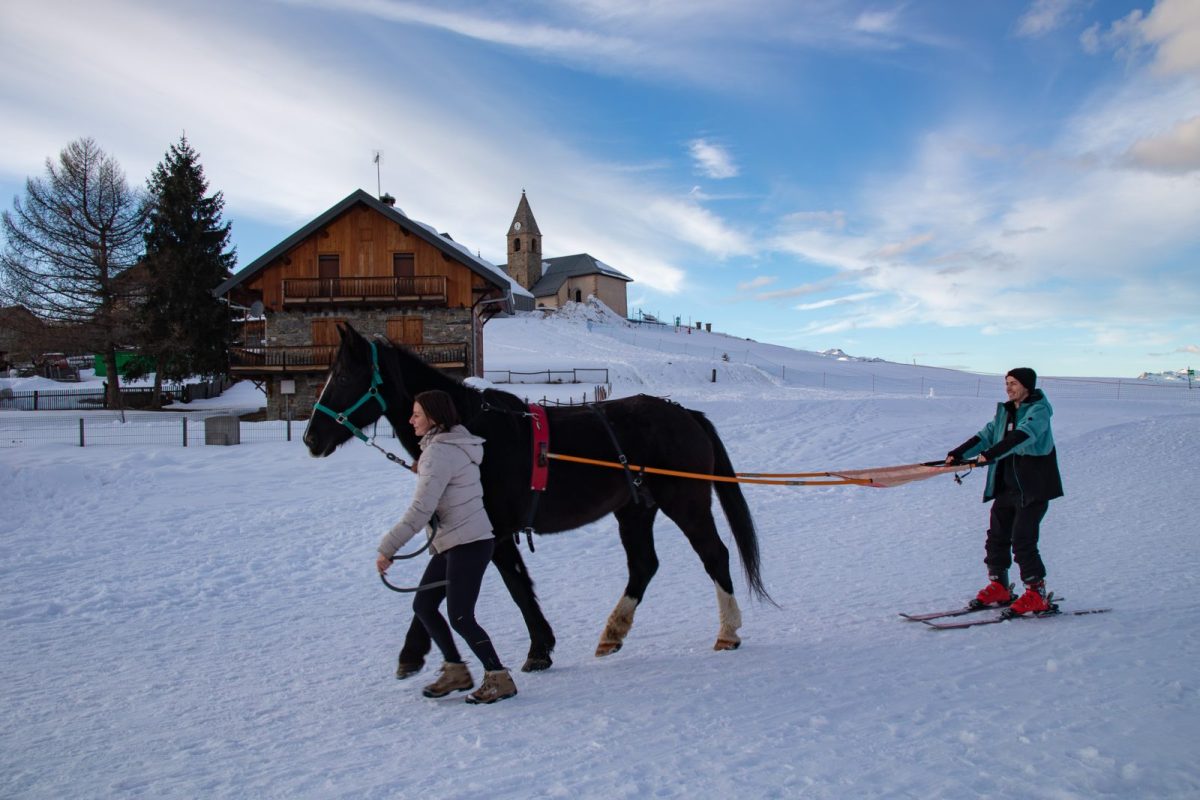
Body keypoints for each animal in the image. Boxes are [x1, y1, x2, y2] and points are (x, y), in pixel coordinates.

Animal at [303, 322, 769, 673]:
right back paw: (612, 633)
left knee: (714, 555)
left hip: (686, 504)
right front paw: (412, 654)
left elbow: (516, 587)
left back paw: (728, 631)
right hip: (635, 511)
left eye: (342, 377)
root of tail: (686, 414)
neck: (473, 432)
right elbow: (439, 586)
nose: (310, 438)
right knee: (644, 566)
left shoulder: (495, 532)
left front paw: (539, 650)